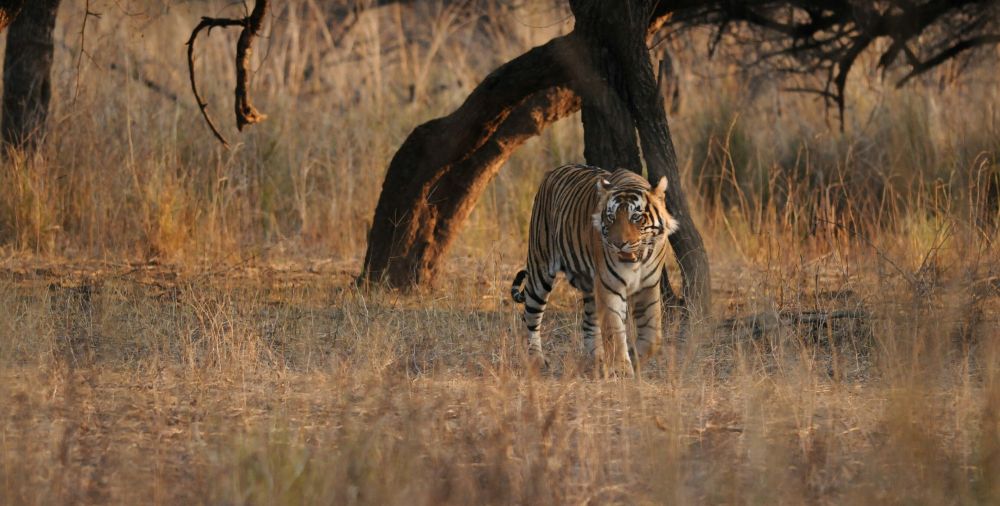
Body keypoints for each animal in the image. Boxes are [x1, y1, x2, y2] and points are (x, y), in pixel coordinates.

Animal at [510, 164, 679, 377]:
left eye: (636, 217)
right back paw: (537, 361)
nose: (618, 244)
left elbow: (652, 336)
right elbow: (614, 330)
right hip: (540, 269)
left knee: (589, 323)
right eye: (611, 217)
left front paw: (634, 357)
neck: (638, 262)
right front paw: (622, 368)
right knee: (531, 317)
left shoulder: (648, 286)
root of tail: (552, 172)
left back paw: (597, 362)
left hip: (589, 286)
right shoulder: (610, 286)